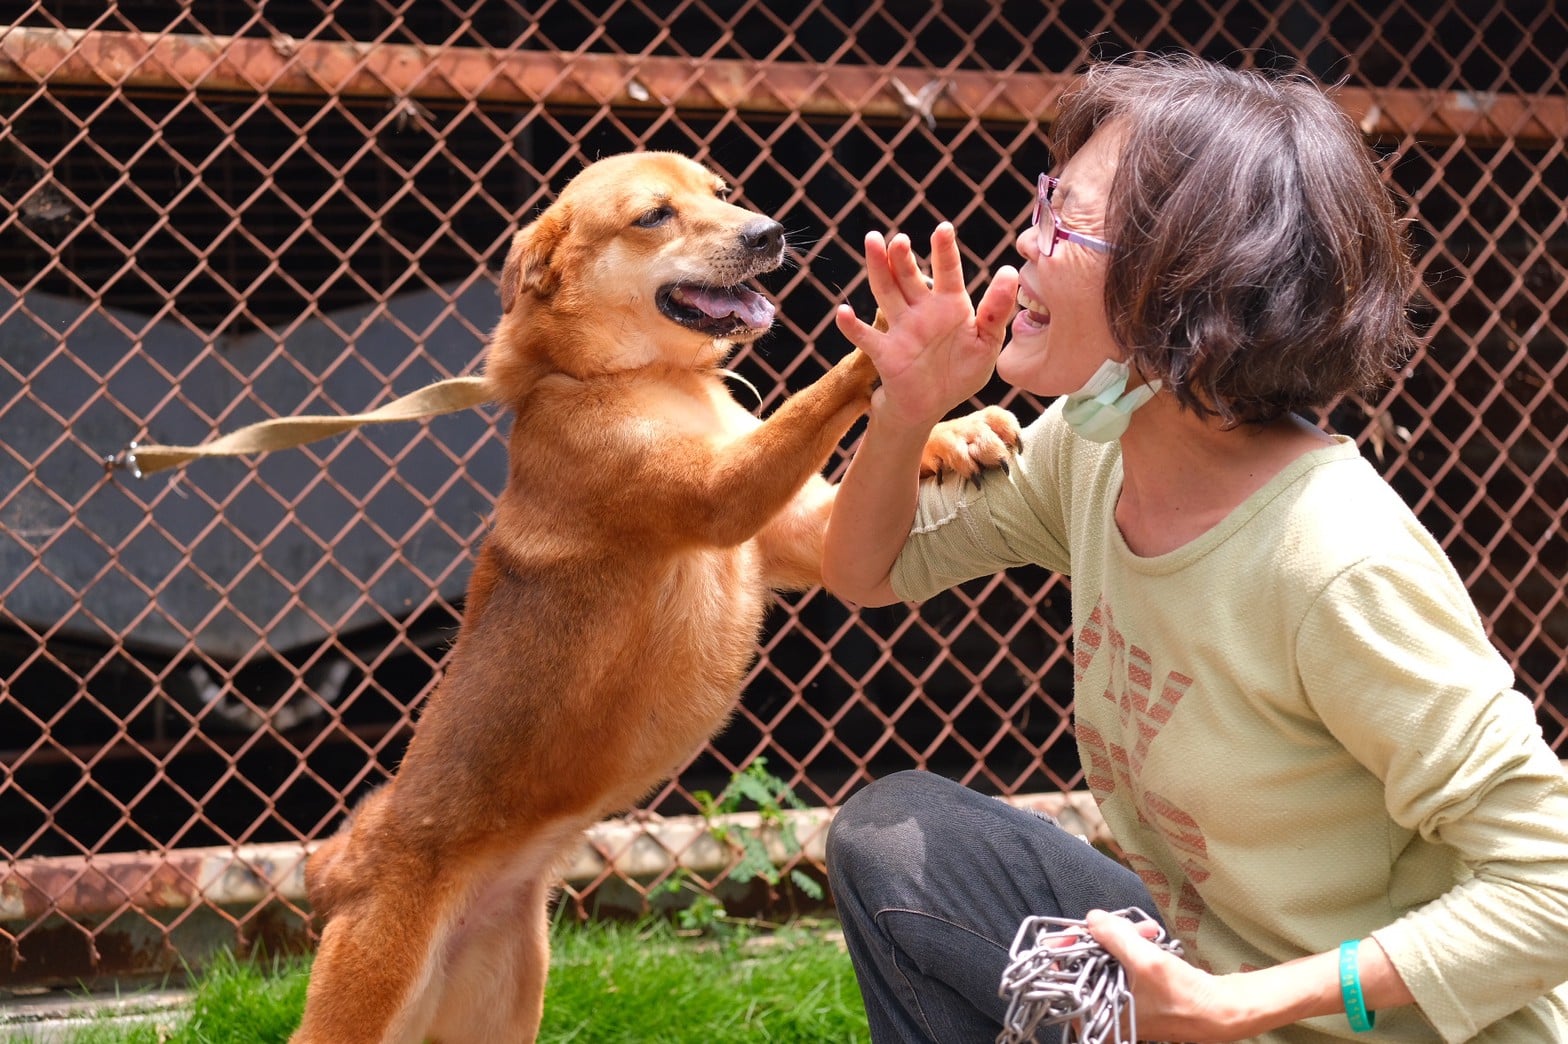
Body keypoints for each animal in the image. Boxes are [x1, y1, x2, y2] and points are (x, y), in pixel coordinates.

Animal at [291, 148, 1016, 1040]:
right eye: (652, 216)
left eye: (721, 192)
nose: (769, 232)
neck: (644, 376)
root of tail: (342, 863)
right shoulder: (723, 495)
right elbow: (813, 400)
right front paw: (903, 342)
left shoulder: (802, 532)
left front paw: (955, 431)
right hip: (366, 999)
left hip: (505, 1002)